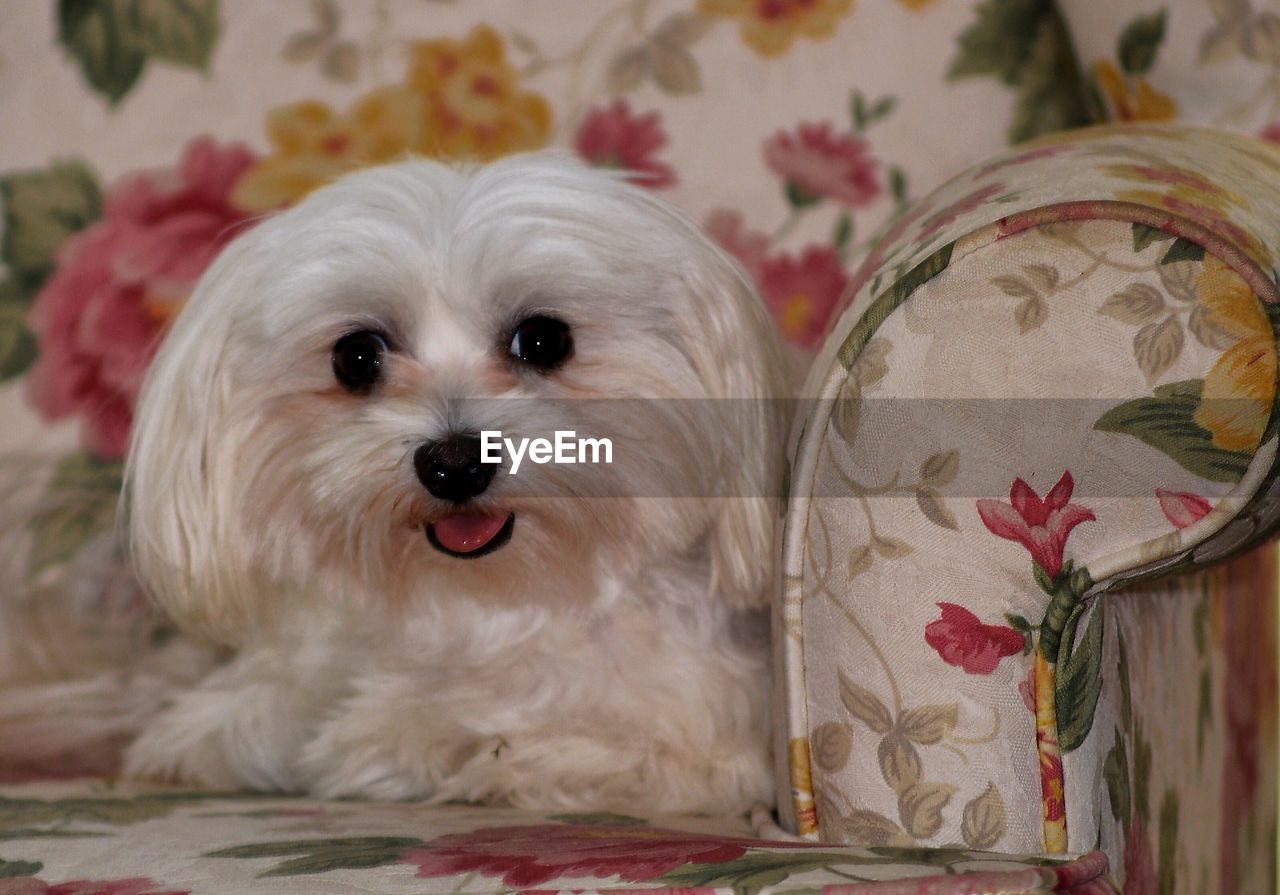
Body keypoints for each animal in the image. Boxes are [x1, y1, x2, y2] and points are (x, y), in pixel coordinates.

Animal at [112, 154, 788, 819]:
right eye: (356, 355)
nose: (455, 462)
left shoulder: (709, 752)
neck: (485, 605)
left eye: (543, 339)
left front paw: (420, 739)